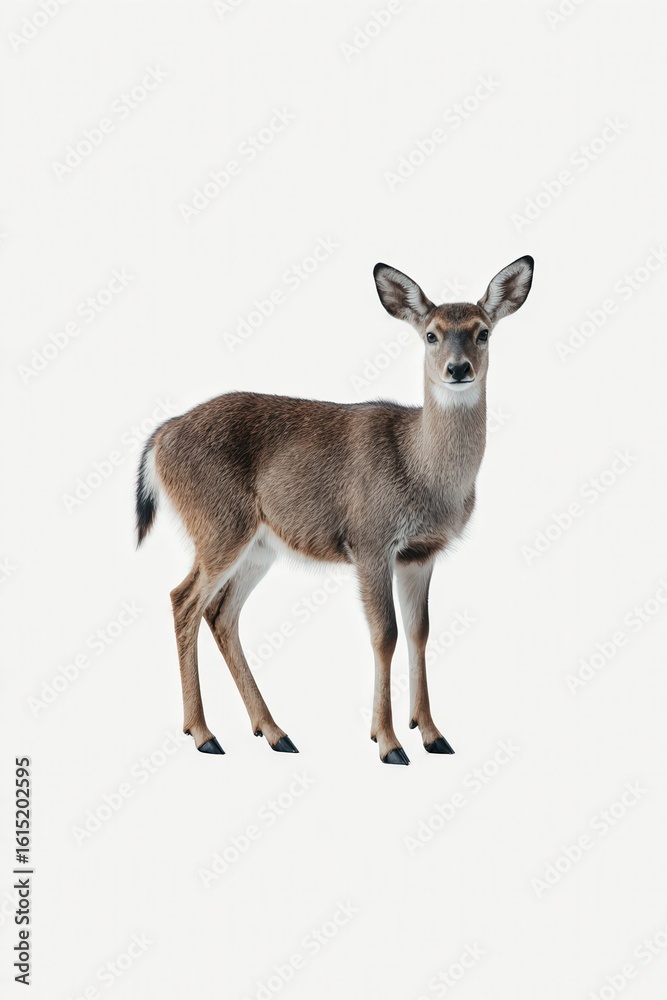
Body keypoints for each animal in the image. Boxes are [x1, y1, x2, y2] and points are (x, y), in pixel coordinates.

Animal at [135, 256, 533, 764]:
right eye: (431, 334)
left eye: (483, 332)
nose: (458, 368)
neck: (422, 471)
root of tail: (159, 439)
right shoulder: (369, 540)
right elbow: (385, 634)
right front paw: (388, 742)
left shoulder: (420, 553)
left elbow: (420, 631)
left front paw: (431, 733)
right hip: (218, 525)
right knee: (183, 600)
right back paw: (204, 733)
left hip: (258, 545)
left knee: (221, 614)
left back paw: (274, 731)